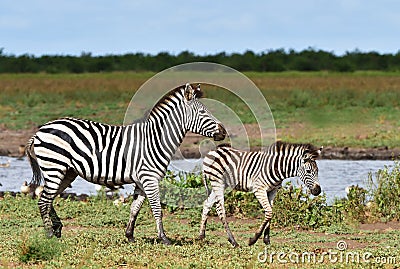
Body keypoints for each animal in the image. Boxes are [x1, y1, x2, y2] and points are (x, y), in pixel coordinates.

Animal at [25, 82, 225, 244]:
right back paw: (50, 234)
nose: (223, 132)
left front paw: (129, 236)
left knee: (47, 197)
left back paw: (57, 228)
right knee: (44, 200)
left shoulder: (141, 180)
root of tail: (41, 129)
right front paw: (164, 238)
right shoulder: (149, 178)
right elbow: (157, 209)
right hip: (54, 167)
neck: (155, 139)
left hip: (67, 171)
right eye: (203, 112)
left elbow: (134, 208)